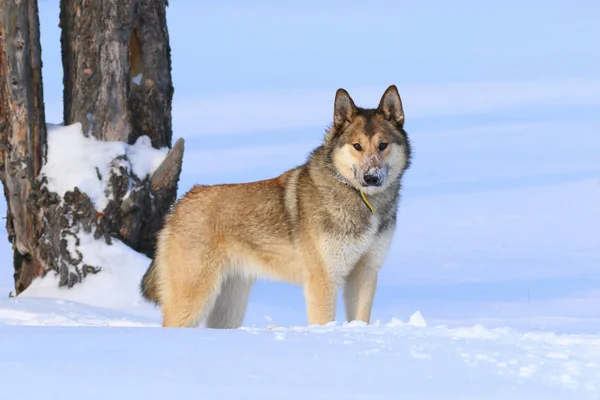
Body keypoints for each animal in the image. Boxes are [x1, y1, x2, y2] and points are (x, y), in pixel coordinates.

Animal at [141, 85, 412, 328]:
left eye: (382, 145)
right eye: (357, 146)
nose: (372, 178)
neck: (360, 199)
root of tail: (179, 204)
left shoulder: (365, 272)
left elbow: (360, 320)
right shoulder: (323, 279)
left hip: (230, 306)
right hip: (193, 300)